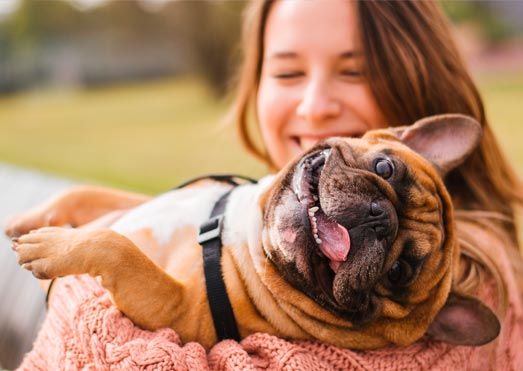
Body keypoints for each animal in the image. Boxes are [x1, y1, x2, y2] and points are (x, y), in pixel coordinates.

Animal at [7, 115, 500, 350]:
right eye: (384, 168)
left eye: (399, 271)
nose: (380, 217)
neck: (243, 232)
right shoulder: (138, 203)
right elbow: (88, 194)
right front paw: (33, 218)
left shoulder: (173, 308)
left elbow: (117, 247)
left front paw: (49, 246)